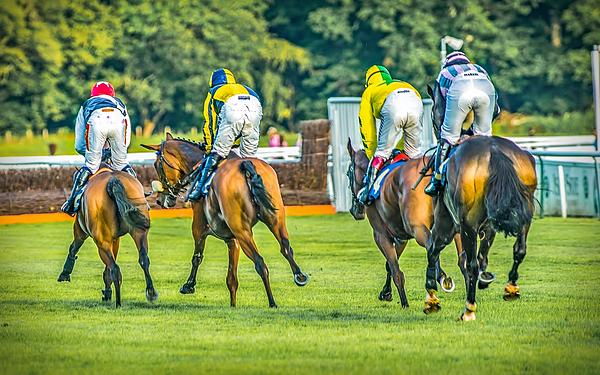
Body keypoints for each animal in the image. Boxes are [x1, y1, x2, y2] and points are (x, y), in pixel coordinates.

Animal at [56, 168, 157, 308]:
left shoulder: (81, 230)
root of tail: (113, 181)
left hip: (101, 241)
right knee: (143, 259)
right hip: (139, 231)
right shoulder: (115, 239)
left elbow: (74, 246)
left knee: (114, 268)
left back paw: (118, 303)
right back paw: (151, 292)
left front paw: (65, 273)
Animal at [141, 133, 310, 308]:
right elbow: (231, 279)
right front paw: (233, 305)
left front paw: (189, 285)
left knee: (260, 263)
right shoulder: (232, 240)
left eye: (156, 165)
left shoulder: (199, 228)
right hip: (275, 220)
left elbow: (197, 257)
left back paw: (272, 302)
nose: (160, 200)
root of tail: (247, 165)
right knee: (285, 247)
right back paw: (299, 276)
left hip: (242, 231)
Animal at [344, 141, 462, 308]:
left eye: (348, 174)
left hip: (417, 228)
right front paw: (386, 292)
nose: (354, 211)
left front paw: (404, 302)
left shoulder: (381, 235)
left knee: (431, 246)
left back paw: (438, 278)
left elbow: (395, 270)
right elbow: (390, 265)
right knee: (463, 259)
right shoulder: (400, 237)